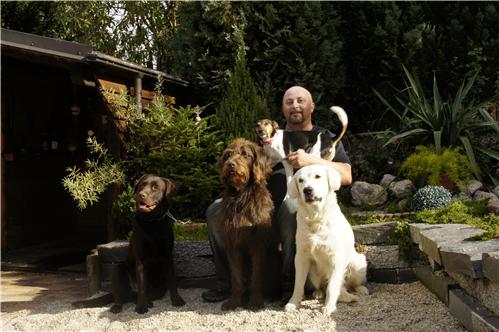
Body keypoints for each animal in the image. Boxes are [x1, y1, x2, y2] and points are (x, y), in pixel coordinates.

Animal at [109, 175, 186, 312]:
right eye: (141, 185)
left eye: (155, 187)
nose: (141, 194)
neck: (152, 221)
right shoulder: (141, 259)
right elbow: (142, 286)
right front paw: (141, 307)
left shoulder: (167, 256)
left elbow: (172, 282)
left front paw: (177, 300)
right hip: (118, 268)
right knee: (120, 294)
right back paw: (118, 306)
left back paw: (148, 301)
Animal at [218, 137, 284, 312]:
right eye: (228, 155)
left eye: (245, 155)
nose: (231, 165)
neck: (242, 197)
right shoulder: (232, 244)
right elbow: (236, 276)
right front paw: (234, 301)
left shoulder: (258, 243)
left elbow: (257, 275)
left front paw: (255, 302)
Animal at [284, 165, 370, 316]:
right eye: (300, 180)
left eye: (318, 176)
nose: (307, 190)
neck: (316, 217)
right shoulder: (301, 257)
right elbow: (298, 284)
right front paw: (293, 303)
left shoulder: (335, 257)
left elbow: (332, 286)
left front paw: (329, 306)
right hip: (313, 273)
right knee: (323, 286)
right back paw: (318, 293)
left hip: (357, 262)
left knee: (349, 284)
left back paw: (360, 290)